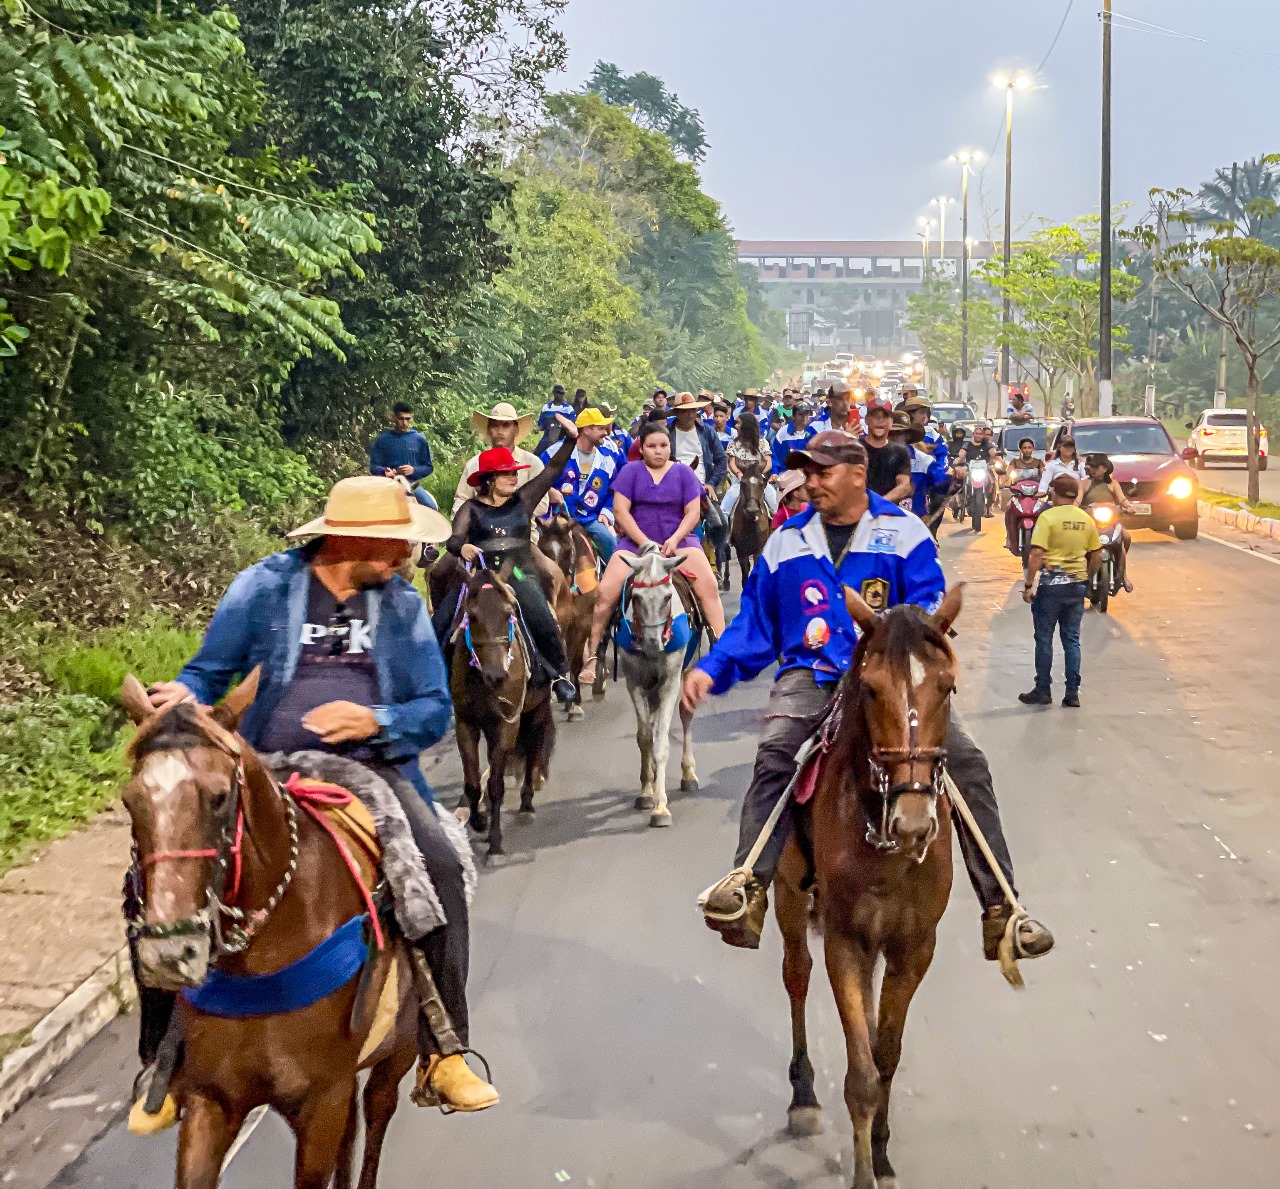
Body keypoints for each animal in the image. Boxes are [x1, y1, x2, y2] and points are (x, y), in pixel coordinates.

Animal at [115, 670, 414, 1182]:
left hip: (401, 1048)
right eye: (130, 802)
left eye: (219, 798)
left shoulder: (321, 1103)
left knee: (377, 1113)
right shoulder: (211, 1100)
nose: (170, 955)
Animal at [448, 563, 552, 854]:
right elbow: (473, 783)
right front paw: (479, 821)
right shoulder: (466, 724)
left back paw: (527, 804)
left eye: (509, 613)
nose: (497, 676)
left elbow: (495, 785)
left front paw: (495, 842)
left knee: (533, 749)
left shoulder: (506, 723)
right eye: (472, 616)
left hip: (537, 711)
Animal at [535, 509, 604, 716]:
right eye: (543, 550)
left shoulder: (582, 623)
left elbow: (575, 662)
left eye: (567, 550)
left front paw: (576, 704)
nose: (555, 580)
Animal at [619, 545, 701, 824]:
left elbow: (662, 742)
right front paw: (647, 791)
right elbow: (645, 737)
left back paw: (688, 774)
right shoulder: (634, 681)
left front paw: (661, 807)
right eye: (636, 598)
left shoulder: (670, 682)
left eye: (667, 597)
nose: (653, 644)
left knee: (686, 715)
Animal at [768, 586, 962, 1187]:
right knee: (796, 975)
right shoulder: (845, 941)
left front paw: (880, 1152)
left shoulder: (914, 946)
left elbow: (886, 1056)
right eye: (872, 688)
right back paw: (802, 1095)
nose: (915, 821)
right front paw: (861, 1170)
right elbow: (860, 1076)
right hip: (788, 895)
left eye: (947, 686)